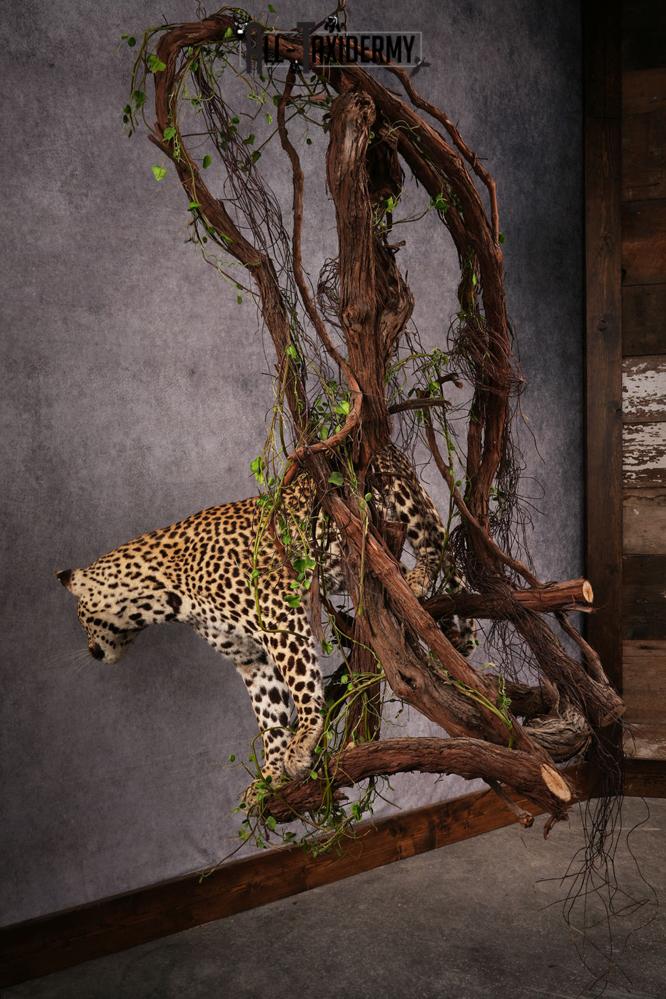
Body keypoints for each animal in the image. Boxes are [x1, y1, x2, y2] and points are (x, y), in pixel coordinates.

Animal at [57, 444, 475, 790]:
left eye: (81, 620)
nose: (92, 651)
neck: (166, 596)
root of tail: (387, 446)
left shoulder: (279, 620)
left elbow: (301, 683)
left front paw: (304, 740)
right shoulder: (249, 657)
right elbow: (268, 712)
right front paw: (272, 771)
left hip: (396, 501)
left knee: (433, 545)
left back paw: (421, 585)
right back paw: (451, 636)